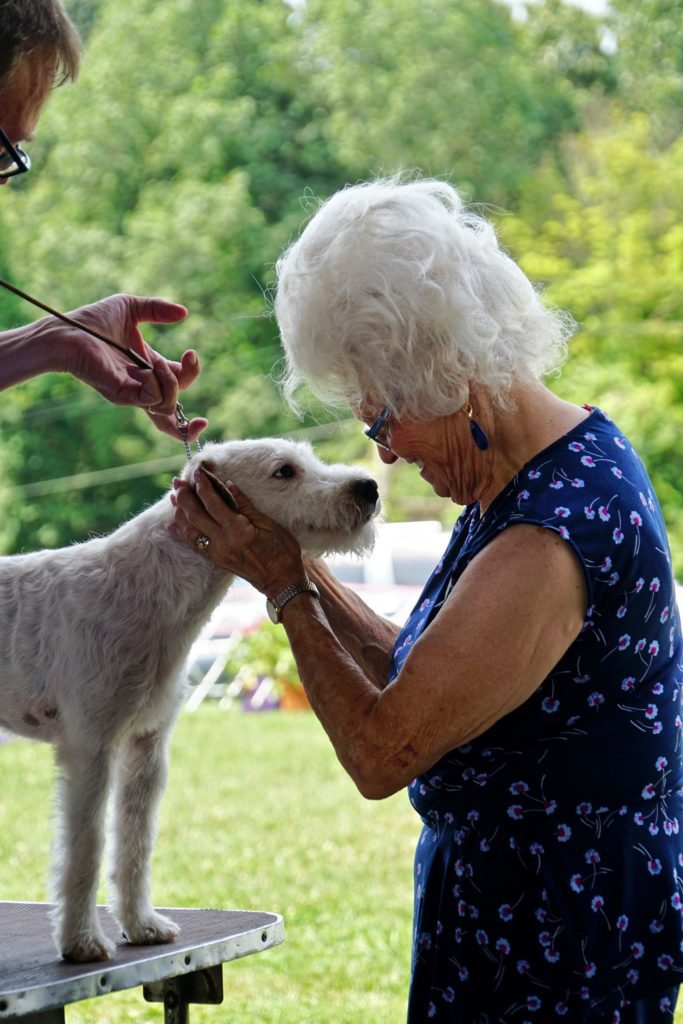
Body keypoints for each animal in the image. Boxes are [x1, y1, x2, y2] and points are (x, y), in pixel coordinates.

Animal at [0, 438, 378, 958]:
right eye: (284, 471)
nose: (369, 487)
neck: (144, 587)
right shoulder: (90, 749)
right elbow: (86, 849)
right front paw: (82, 942)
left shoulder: (146, 747)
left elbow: (134, 843)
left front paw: (140, 925)